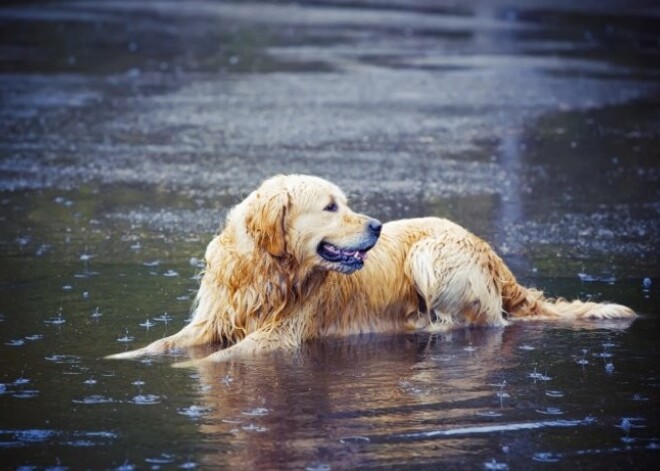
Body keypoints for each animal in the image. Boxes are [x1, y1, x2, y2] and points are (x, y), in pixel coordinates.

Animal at [105, 175, 636, 366]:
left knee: (470, 322)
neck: (267, 271)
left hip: (431, 255)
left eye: (345, 202)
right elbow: (165, 342)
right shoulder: (212, 319)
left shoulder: (281, 335)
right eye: (330, 206)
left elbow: (225, 356)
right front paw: (124, 356)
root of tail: (488, 247)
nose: (378, 225)